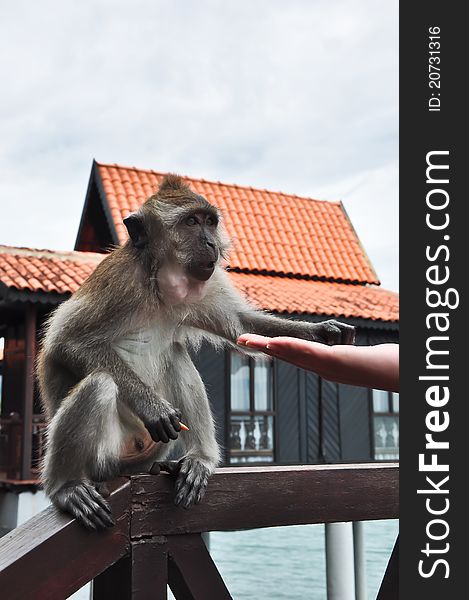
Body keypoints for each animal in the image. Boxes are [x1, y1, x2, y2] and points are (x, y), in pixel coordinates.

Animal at [36, 173, 352, 528]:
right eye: (190, 222)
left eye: (210, 222)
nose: (211, 243)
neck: (159, 283)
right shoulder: (119, 283)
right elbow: (68, 341)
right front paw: (153, 407)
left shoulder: (206, 283)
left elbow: (241, 326)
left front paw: (321, 332)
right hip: (106, 455)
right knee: (100, 383)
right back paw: (66, 487)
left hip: (149, 450)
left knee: (176, 356)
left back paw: (199, 459)